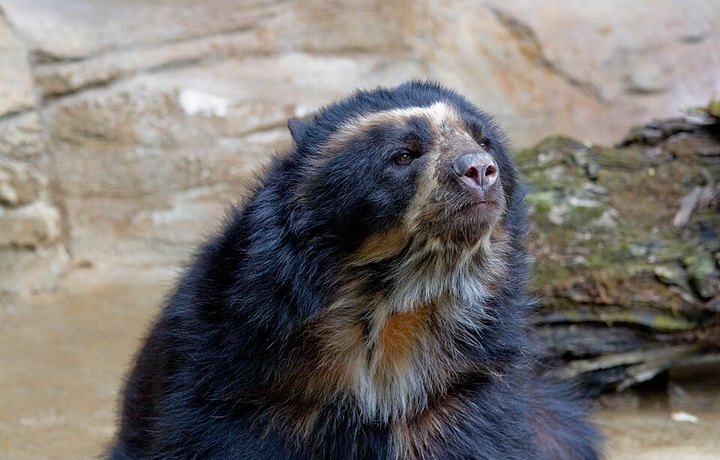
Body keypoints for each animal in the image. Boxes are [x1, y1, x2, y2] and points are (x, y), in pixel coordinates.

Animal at [111, 81, 601, 459]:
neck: (393, 305)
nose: (480, 170)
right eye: (403, 156)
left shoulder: (460, 387)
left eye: (484, 142)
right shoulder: (238, 378)